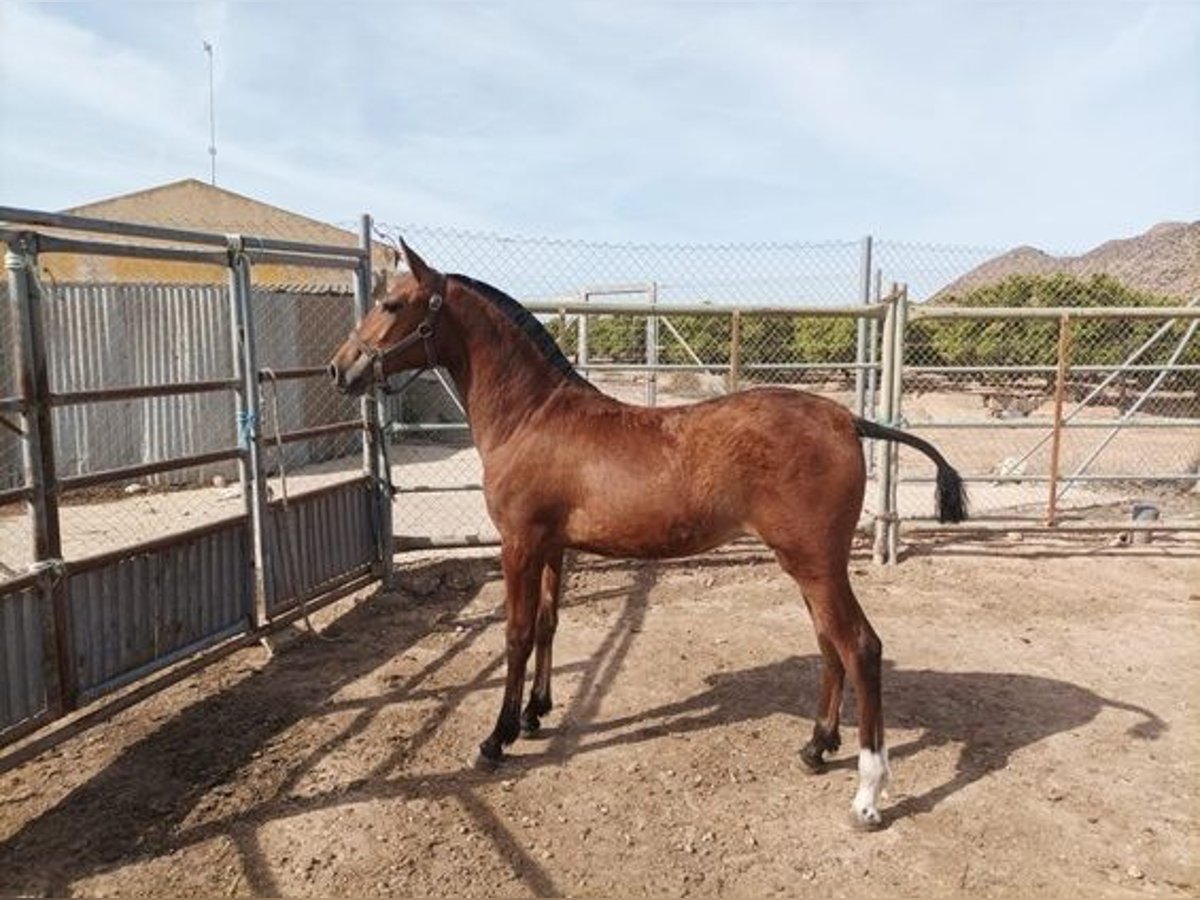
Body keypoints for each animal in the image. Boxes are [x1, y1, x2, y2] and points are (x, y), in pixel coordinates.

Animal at [328, 241, 964, 830]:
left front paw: (497, 738)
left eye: (393, 303)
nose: (340, 368)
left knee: (860, 646)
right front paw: (535, 714)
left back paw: (868, 795)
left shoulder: (519, 545)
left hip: (816, 563)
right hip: (806, 565)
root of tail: (845, 419)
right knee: (830, 643)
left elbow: (515, 635)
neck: (532, 418)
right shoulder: (554, 548)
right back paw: (816, 747)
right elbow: (546, 626)